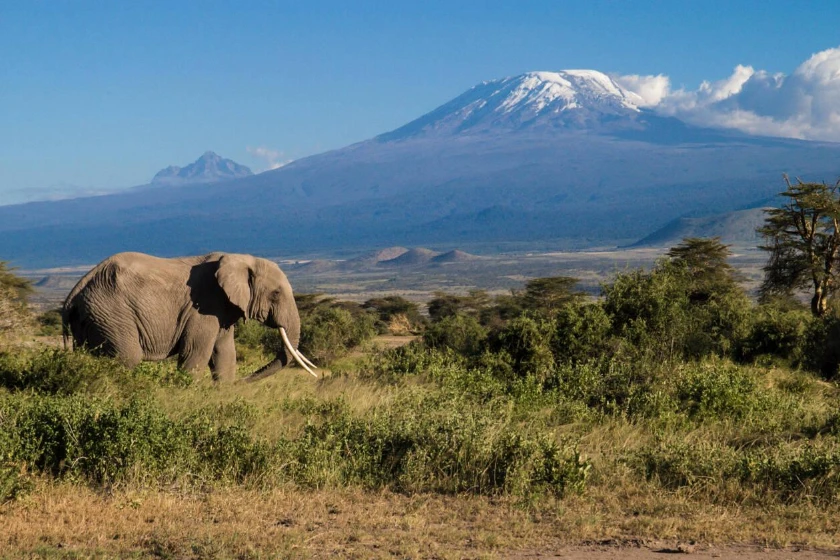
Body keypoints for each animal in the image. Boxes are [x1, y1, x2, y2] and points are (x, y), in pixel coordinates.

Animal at [62, 251, 316, 382]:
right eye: (276, 293)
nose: (244, 381)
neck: (242, 259)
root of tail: (75, 290)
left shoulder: (222, 309)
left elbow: (224, 354)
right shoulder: (203, 306)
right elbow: (196, 353)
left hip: (93, 317)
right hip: (110, 313)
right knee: (128, 358)